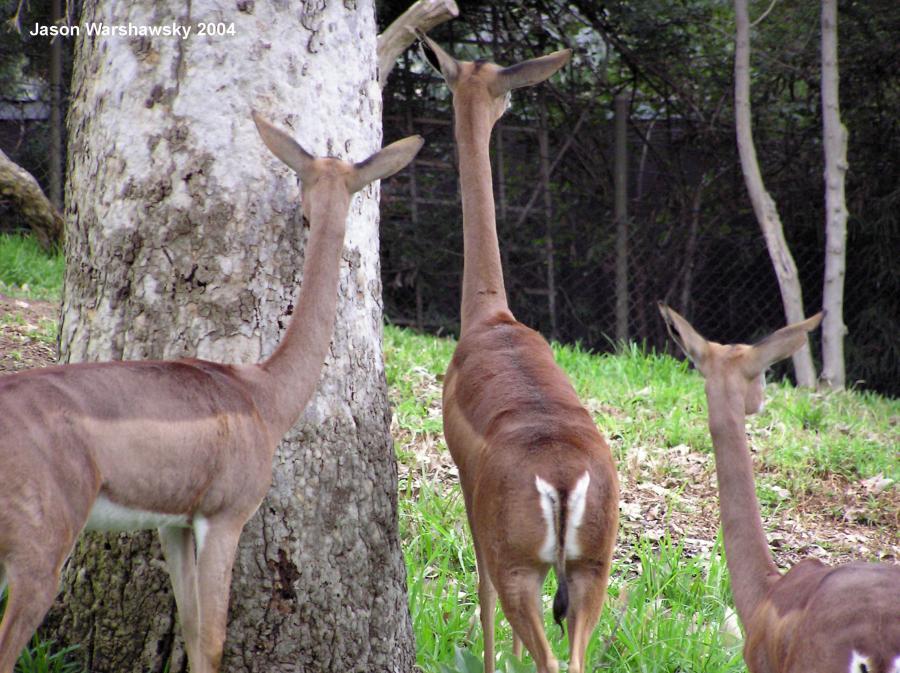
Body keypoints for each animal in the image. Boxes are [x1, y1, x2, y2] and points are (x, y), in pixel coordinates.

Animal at [0, 113, 422, 668]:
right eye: (305, 178)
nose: (305, 214)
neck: (261, 395)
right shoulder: (224, 518)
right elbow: (213, 639)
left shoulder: (173, 525)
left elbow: (192, 626)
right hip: (40, 554)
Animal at [420, 32, 620, 673]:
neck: (492, 320)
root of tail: (561, 480)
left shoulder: (466, 487)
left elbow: (478, 586)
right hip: (589, 572)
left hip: (523, 570)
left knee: (538, 642)